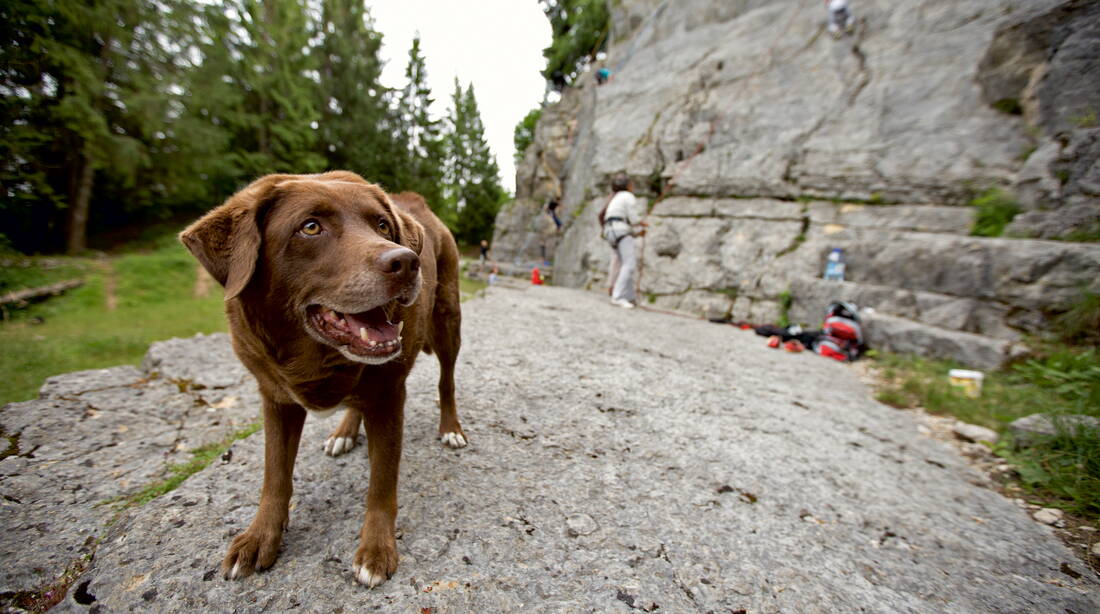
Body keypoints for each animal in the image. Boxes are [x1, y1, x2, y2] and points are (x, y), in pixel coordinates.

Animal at [182, 170, 466, 589]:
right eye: (311, 227)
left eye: (383, 225)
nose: (406, 261)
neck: (315, 356)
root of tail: (417, 202)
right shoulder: (276, 397)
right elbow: (275, 473)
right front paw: (260, 536)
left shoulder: (388, 394)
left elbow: (382, 480)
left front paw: (377, 549)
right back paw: (345, 431)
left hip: (448, 319)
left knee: (447, 381)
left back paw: (451, 427)